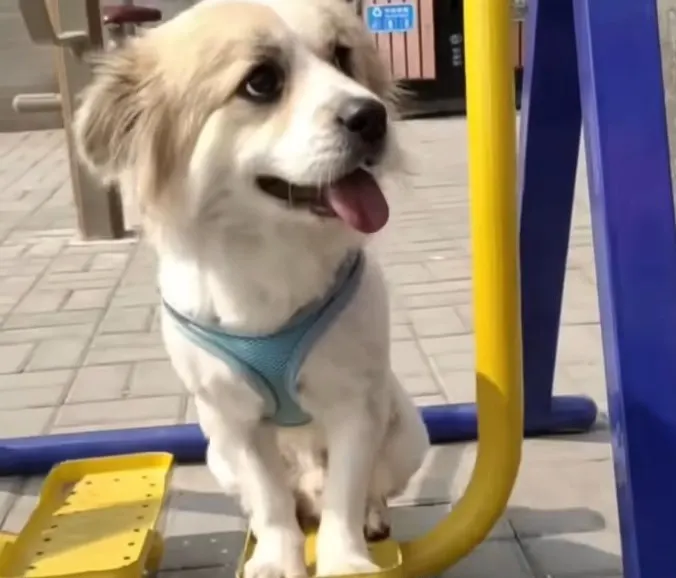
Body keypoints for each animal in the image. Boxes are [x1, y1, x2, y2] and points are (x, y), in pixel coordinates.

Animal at [72, 0, 428, 572]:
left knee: (366, 488)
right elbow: (271, 501)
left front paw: (345, 561)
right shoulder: (235, 419)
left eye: (343, 57)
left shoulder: (355, 406)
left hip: (407, 433)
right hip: (216, 452)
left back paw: (372, 518)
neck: (270, 253)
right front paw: (277, 560)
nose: (371, 115)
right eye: (261, 82)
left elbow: (345, 498)